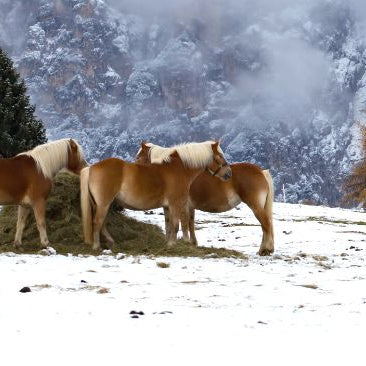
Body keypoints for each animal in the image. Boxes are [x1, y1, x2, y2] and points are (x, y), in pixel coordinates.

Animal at [79, 141, 232, 252]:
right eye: (220, 156)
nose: (229, 173)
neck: (178, 169)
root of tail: (92, 167)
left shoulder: (167, 206)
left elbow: (169, 225)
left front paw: (168, 243)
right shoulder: (175, 203)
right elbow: (176, 225)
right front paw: (172, 245)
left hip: (100, 204)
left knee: (102, 223)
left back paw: (110, 242)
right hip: (103, 203)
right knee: (97, 222)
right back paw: (97, 246)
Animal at [136, 142, 274, 256]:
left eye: (138, 157)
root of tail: (261, 171)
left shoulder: (182, 204)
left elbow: (183, 223)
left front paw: (185, 242)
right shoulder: (186, 206)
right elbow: (186, 223)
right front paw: (192, 242)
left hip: (255, 205)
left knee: (266, 224)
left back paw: (265, 250)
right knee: (266, 225)